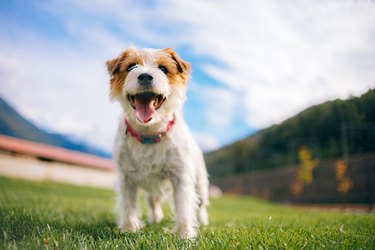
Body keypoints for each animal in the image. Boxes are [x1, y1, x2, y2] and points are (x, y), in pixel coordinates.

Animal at [107, 47, 210, 238]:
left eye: (163, 68)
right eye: (131, 66)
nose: (145, 76)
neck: (149, 134)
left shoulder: (181, 176)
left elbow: (184, 206)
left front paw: (184, 234)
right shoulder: (126, 178)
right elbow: (128, 204)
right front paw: (129, 228)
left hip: (200, 183)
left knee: (201, 204)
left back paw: (204, 220)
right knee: (153, 201)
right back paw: (155, 218)